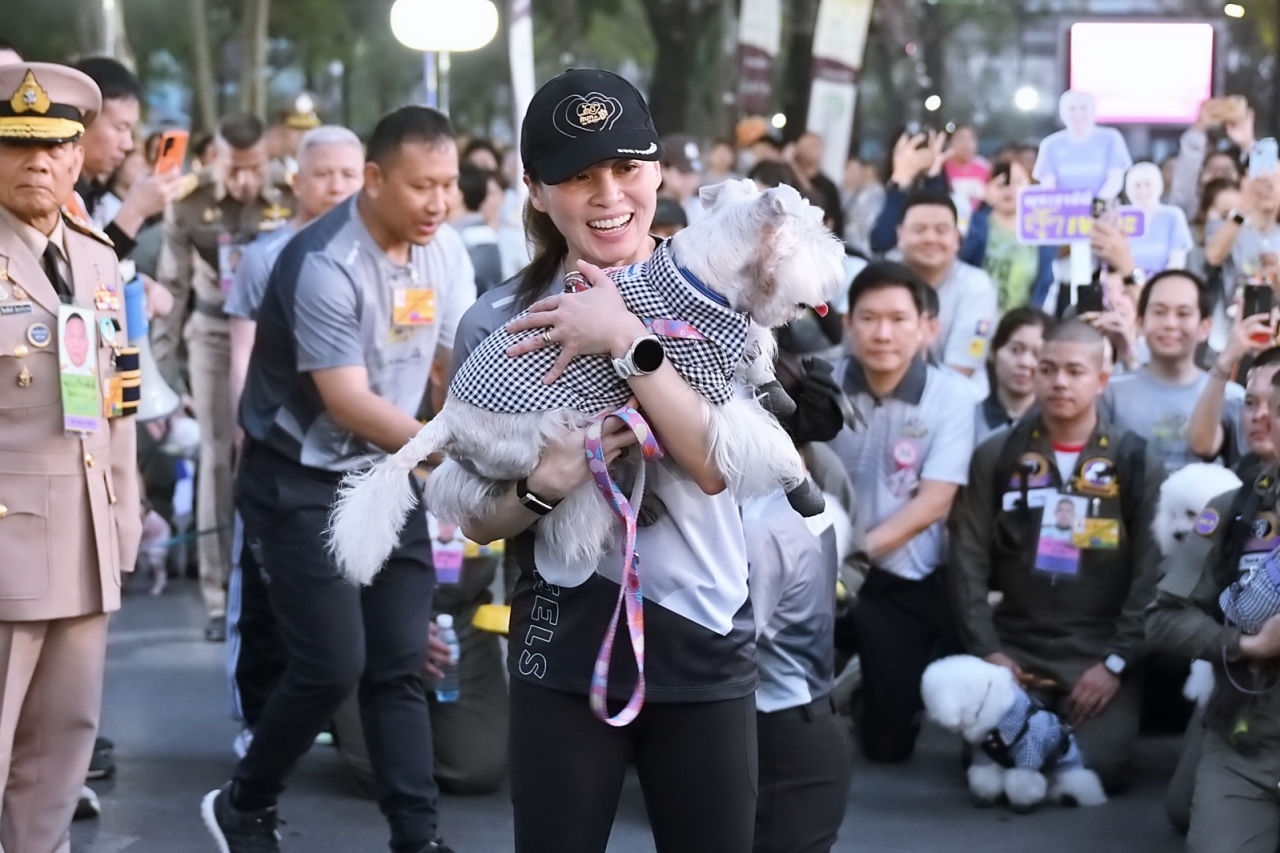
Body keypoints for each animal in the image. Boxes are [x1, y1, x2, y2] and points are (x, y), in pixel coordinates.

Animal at [328, 179, 846, 588]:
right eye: (813, 231)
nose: (840, 259)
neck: (702, 279)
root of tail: (446, 420)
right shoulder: (707, 396)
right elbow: (770, 441)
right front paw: (804, 490)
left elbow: (756, 349)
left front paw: (774, 387)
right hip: (565, 435)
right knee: (557, 502)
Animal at [921, 655, 1107, 812]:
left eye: (932, 700)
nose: (927, 715)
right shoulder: (986, 755)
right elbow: (986, 777)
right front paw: (986, 798)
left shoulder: (1028, 751)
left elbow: (1023, 780)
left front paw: (1022, 804)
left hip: (1066, 761)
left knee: (1077, 778)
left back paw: (1080, 796)